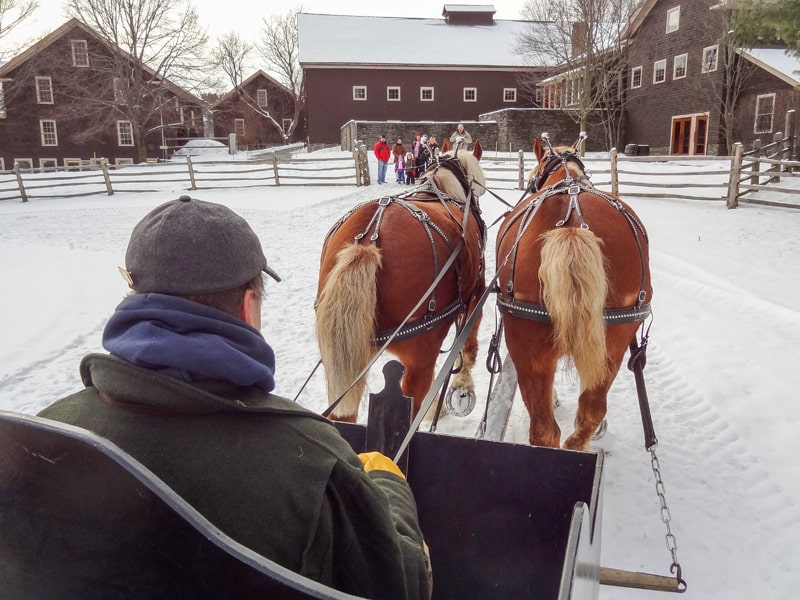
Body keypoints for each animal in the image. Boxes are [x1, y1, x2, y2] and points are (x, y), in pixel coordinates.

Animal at [316, 141, 484, 422]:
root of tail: (367, 242)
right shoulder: (477, 291)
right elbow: (468, 343)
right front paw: (462, 386)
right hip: (418, 356)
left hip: (349, 356)